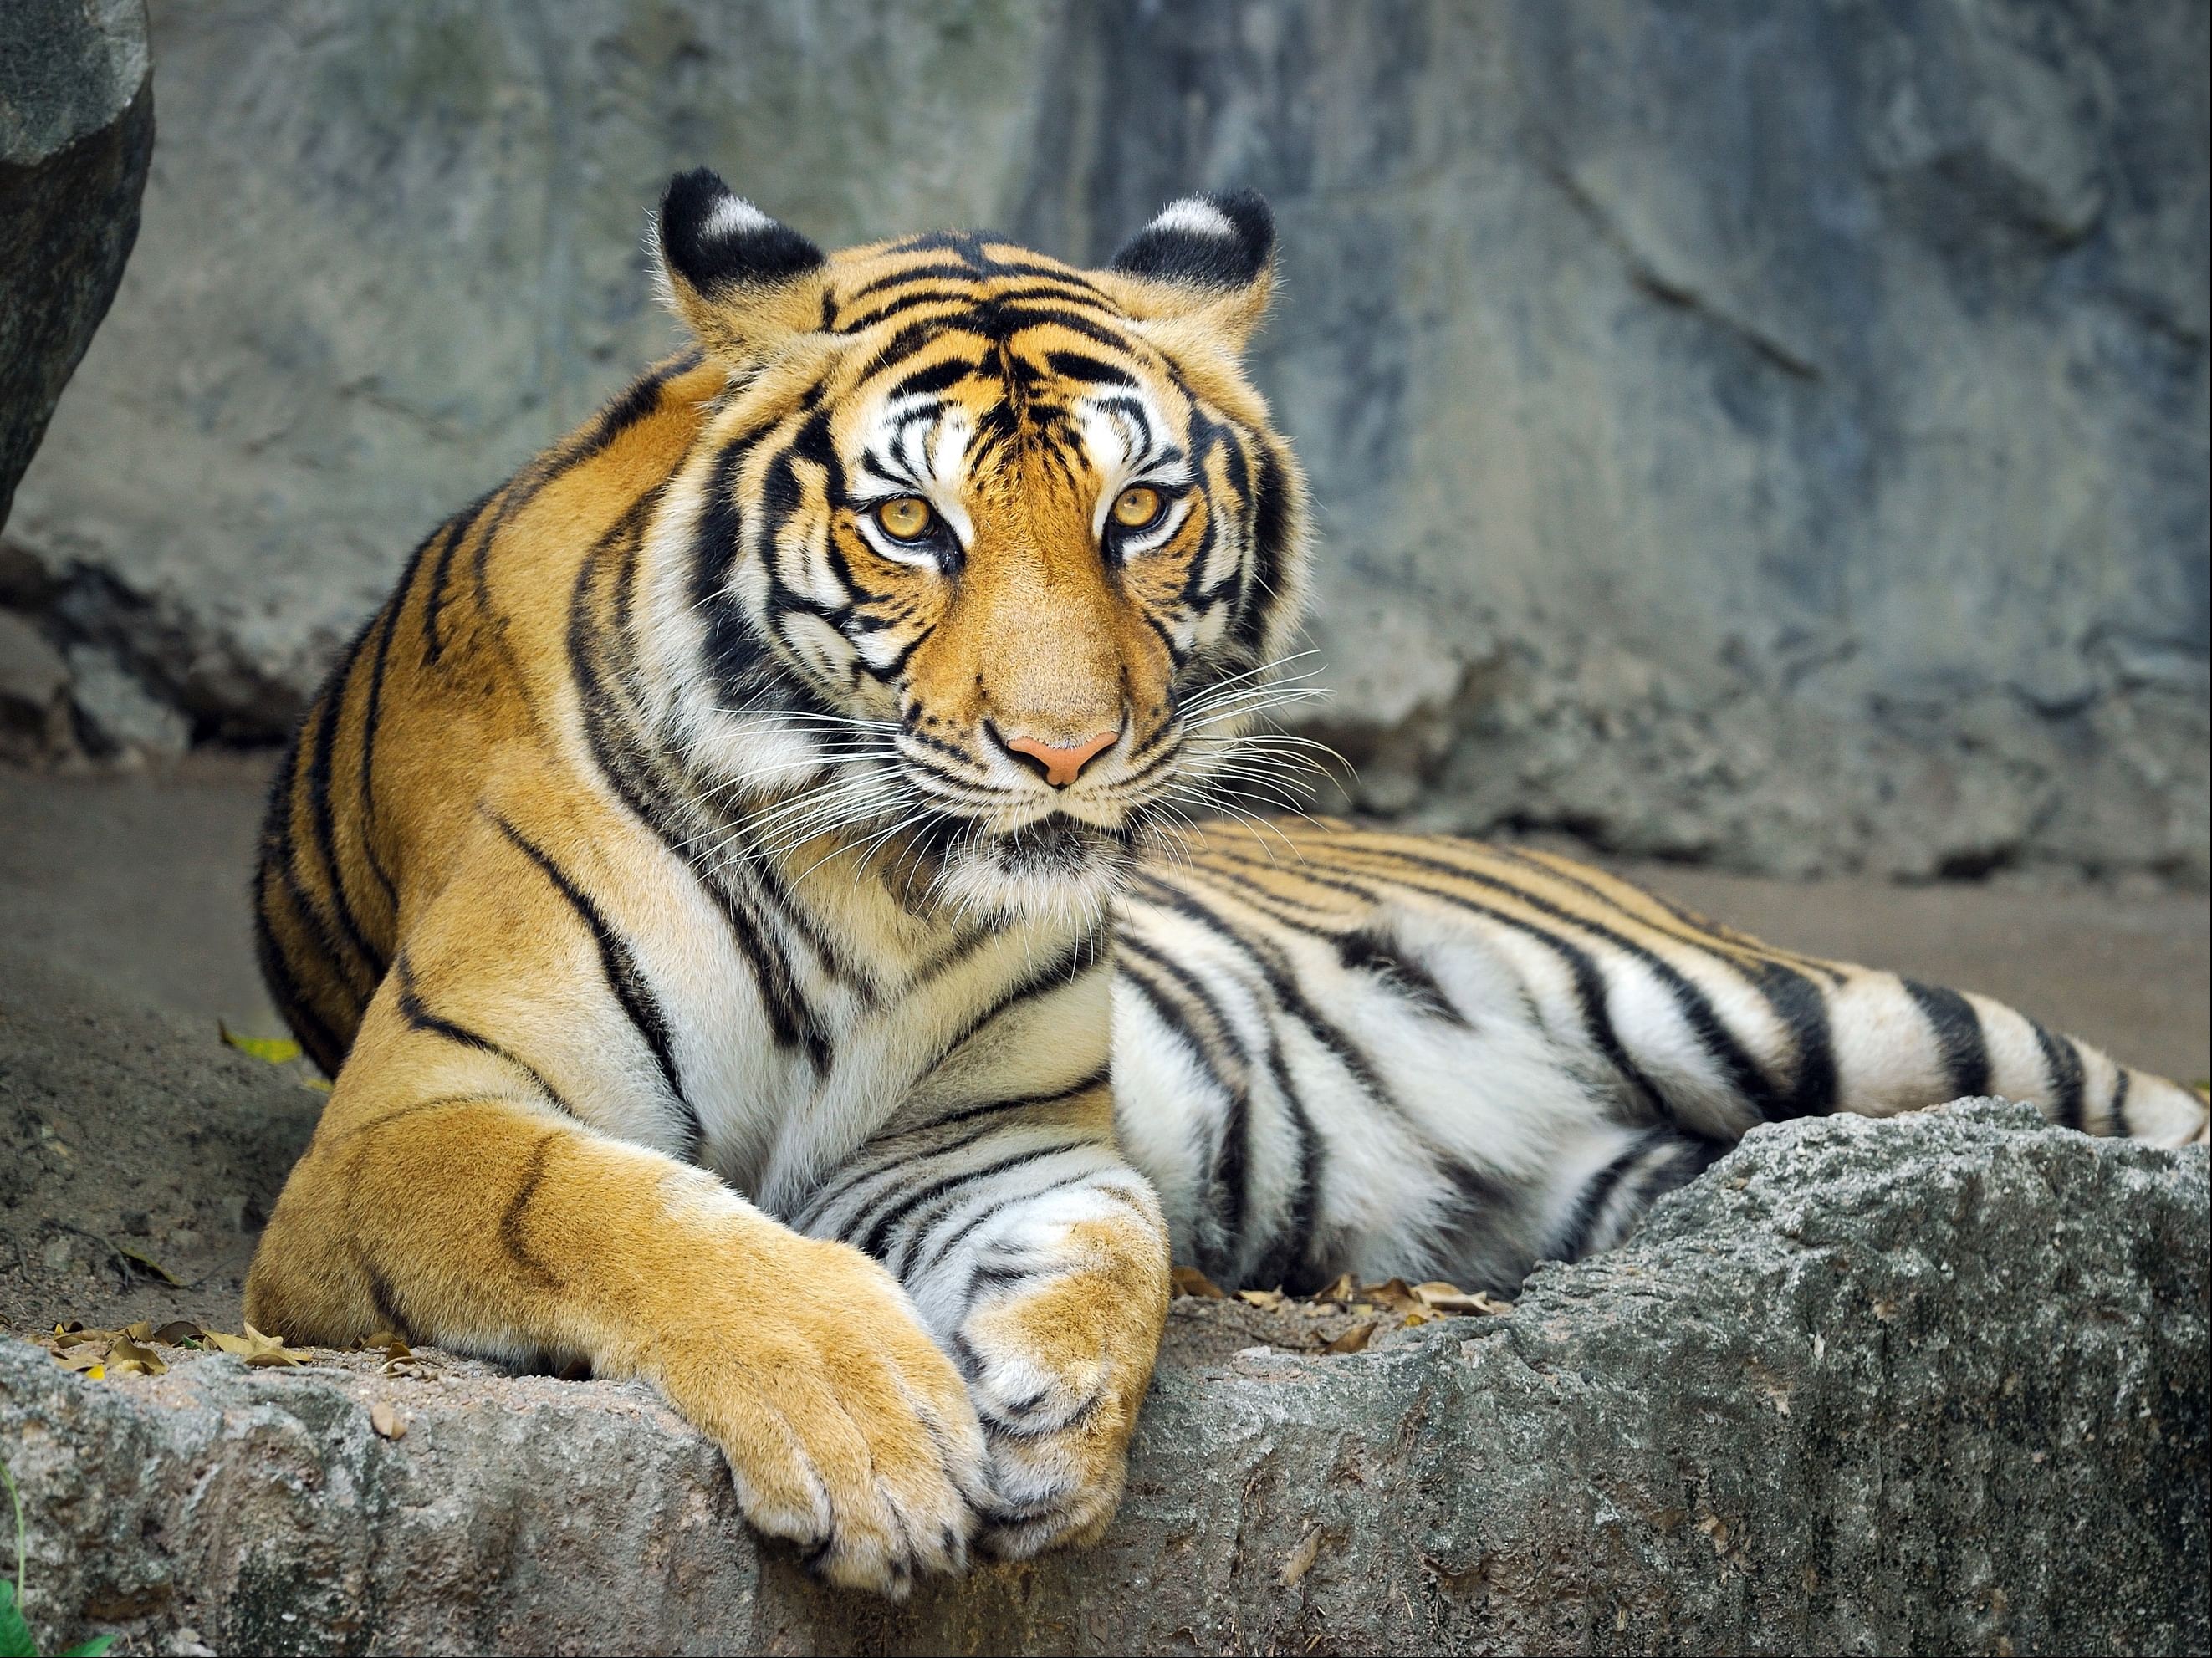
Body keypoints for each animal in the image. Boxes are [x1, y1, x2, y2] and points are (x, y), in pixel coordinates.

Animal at [245, 170, 2210, 1597]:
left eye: (1138, 511)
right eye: (911, 524)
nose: (1062, 748)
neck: (880, 887)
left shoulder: (986, 1137)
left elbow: (1112, 1237)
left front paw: (1052, 1415)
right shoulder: (405, 1129)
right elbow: (628, 1211)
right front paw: (868, 1431)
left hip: (1803, 1010)